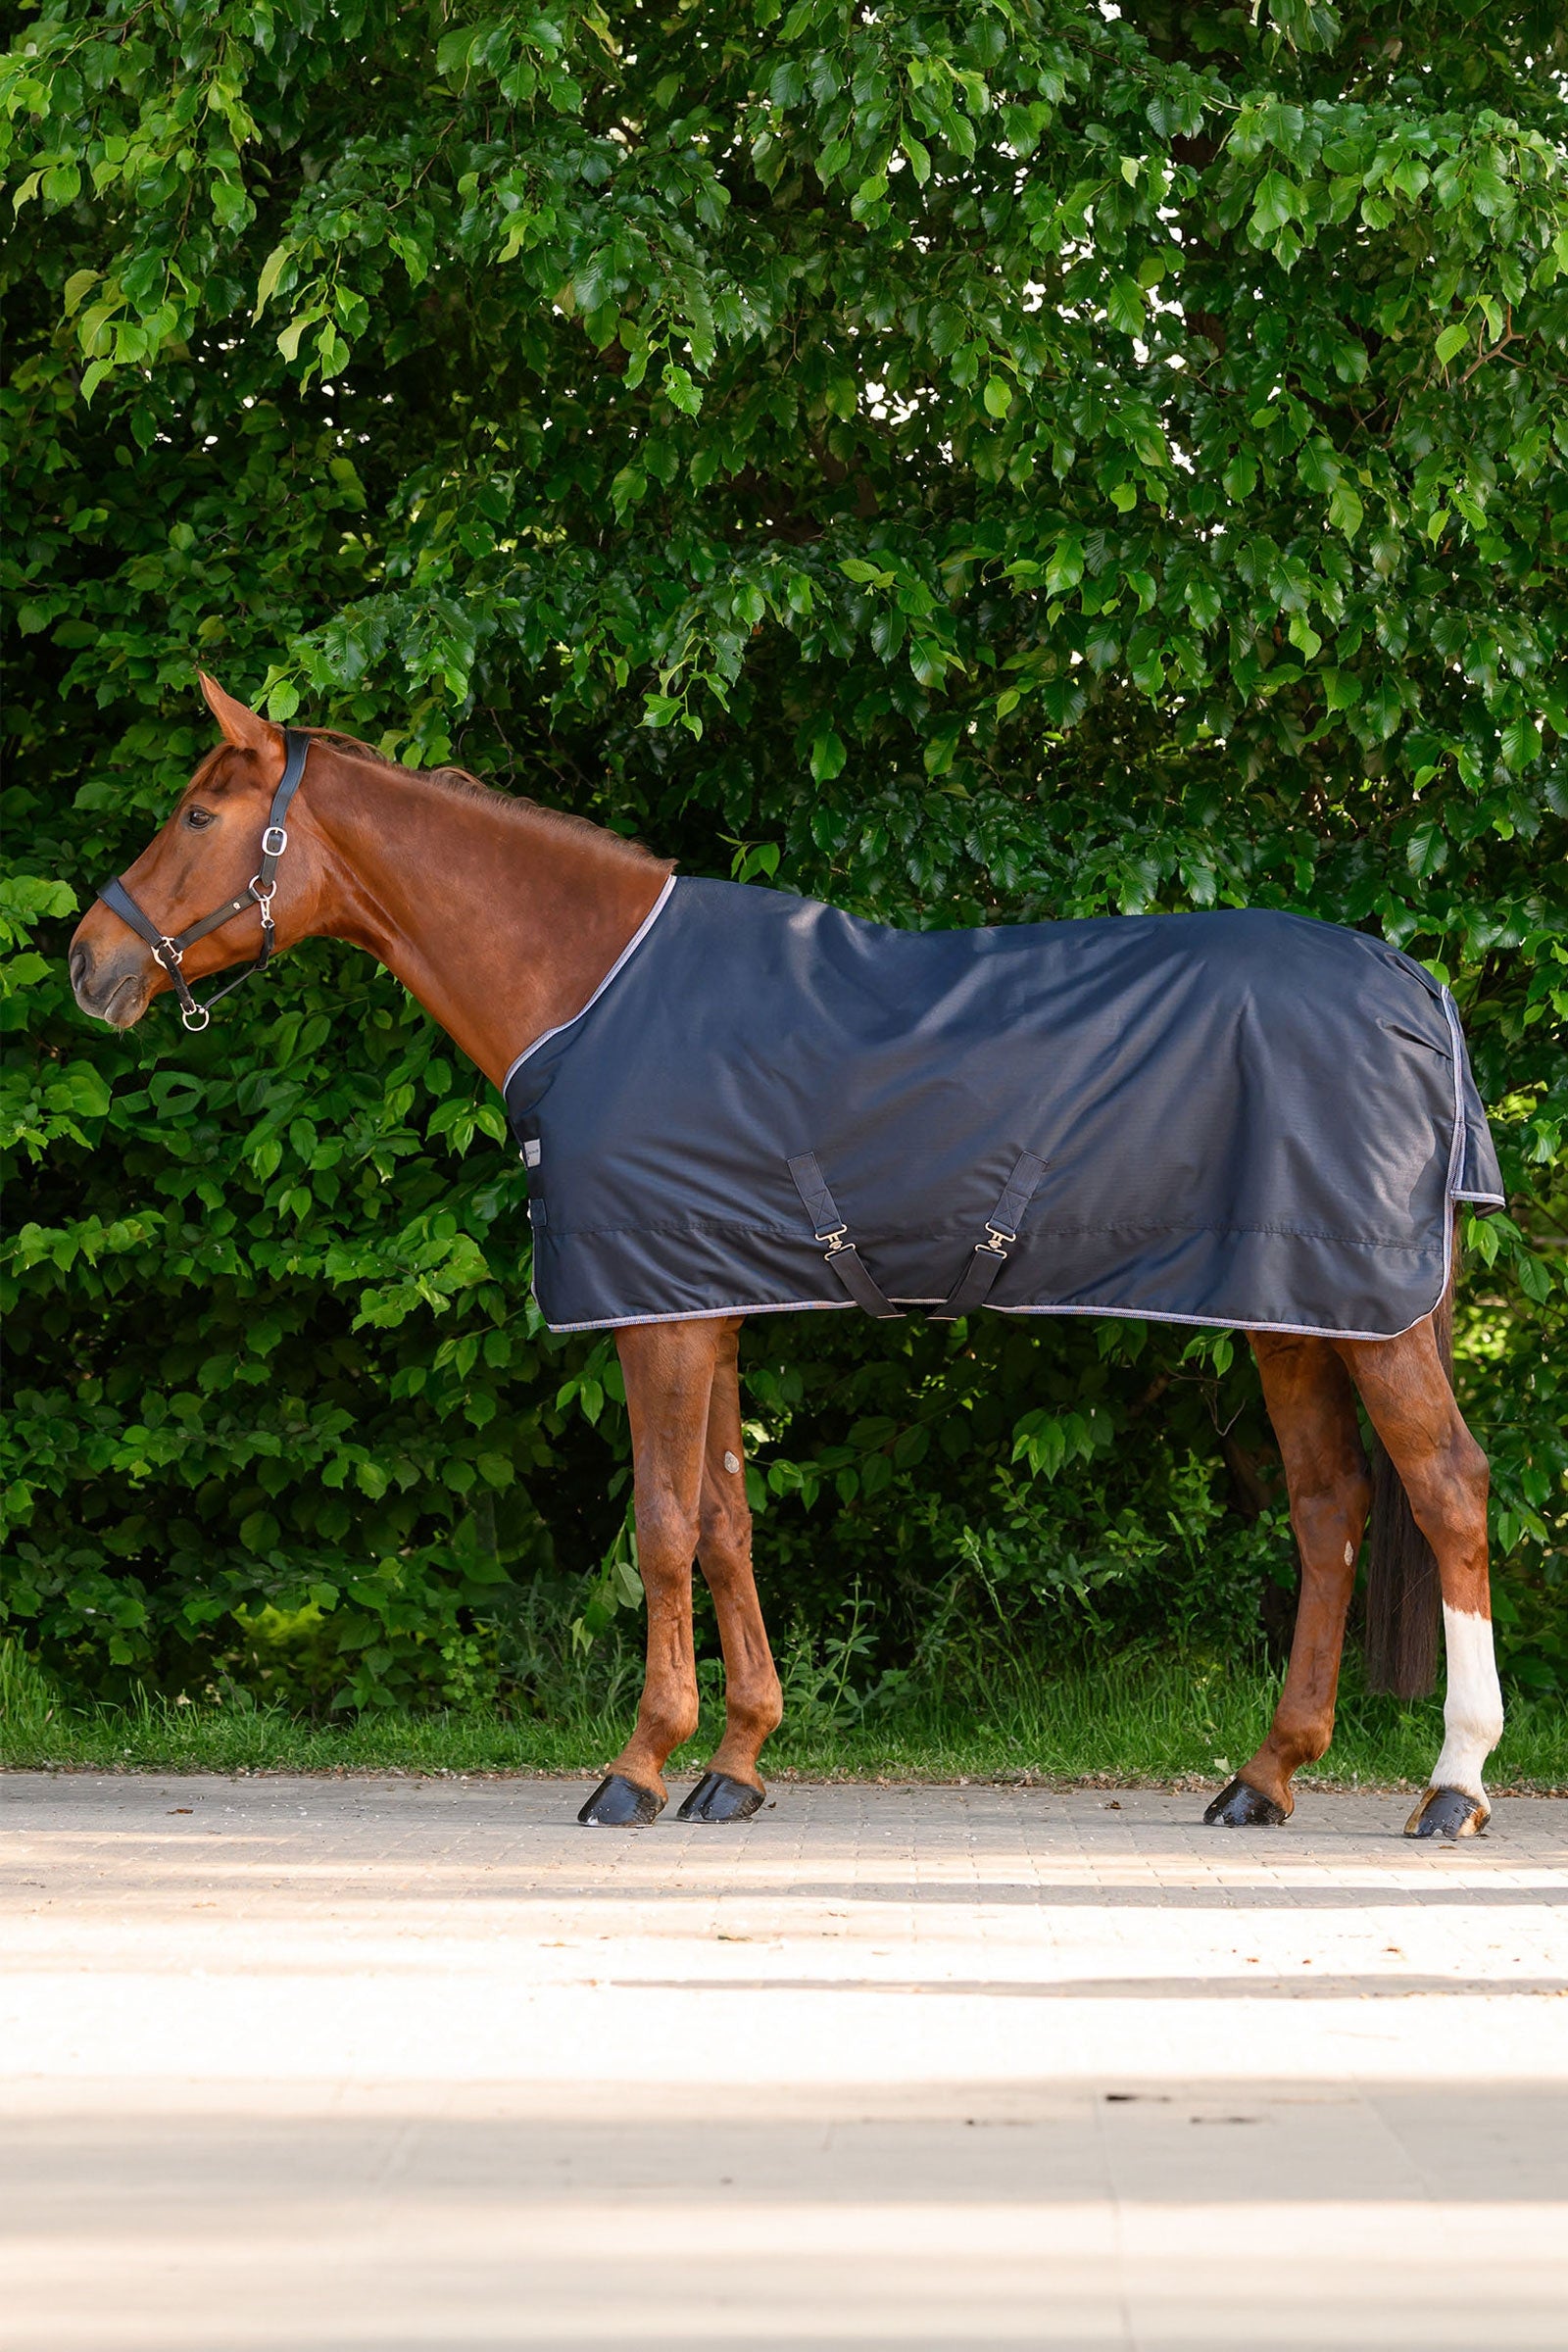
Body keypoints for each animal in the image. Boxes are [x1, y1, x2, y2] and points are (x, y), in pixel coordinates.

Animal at [67, 675, 1506, 1839]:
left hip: (1368, 1317)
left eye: (197, 816)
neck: (592, 989)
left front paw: (637, 1768)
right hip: (1301, 1312)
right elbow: (724, 1523)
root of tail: (1415, 987)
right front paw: (737, 1763)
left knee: (1445, 1490)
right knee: (1329, 1507)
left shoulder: (654, 1316)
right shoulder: (705, 1300)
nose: (87, 963)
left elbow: (659, 1531)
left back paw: (1453, 1786)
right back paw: (1264, 1778)